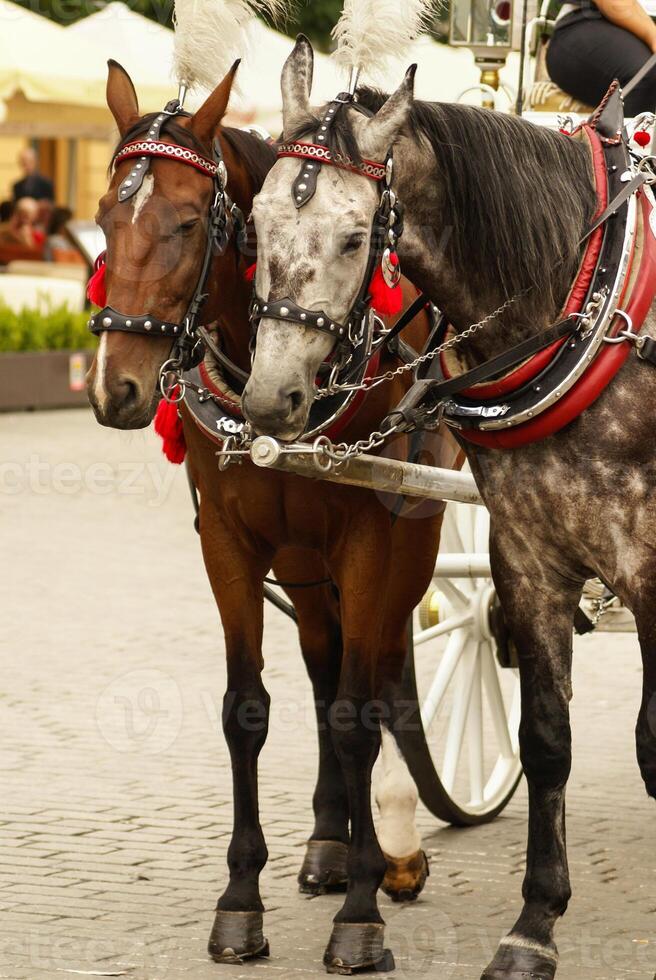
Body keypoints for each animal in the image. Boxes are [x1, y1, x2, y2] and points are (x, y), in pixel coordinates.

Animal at [86, 61, 456, 972]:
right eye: (106, 218)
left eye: (190, 222)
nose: (115, 388)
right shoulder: (232, 540)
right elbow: (247, 709)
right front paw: (241, 901)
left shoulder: (376, 537)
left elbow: (362, 715)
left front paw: (362, 912)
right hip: (305, 557)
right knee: (327, 668)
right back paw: (333, 842)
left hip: (411, 535)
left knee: (378, 673)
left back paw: (389, 843)